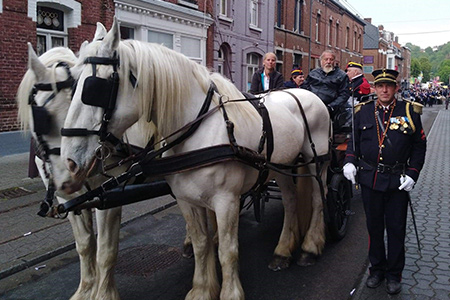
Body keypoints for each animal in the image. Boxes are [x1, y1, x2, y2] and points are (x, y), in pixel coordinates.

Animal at [15, 23, 143, 300]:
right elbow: (85, 245)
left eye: (90, 95)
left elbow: (106, 249)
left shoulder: (109, 195)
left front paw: (104, 294)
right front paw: (85, 290)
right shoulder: (67, 198)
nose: (70, 173)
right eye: (39, 117)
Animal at [61, 19, 330, 300]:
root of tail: (304, 94)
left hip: (316, 160)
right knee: (290, 200)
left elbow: (227, 250)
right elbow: (201, 243)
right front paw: (202, 289)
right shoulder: (186, 199)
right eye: (72, 85)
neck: (197, 129)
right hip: (281, 166)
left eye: (94, 88)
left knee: (316, 198)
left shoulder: (226, 201)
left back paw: (310, 246)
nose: (69, 161)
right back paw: (283, 250)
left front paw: (230, 293)